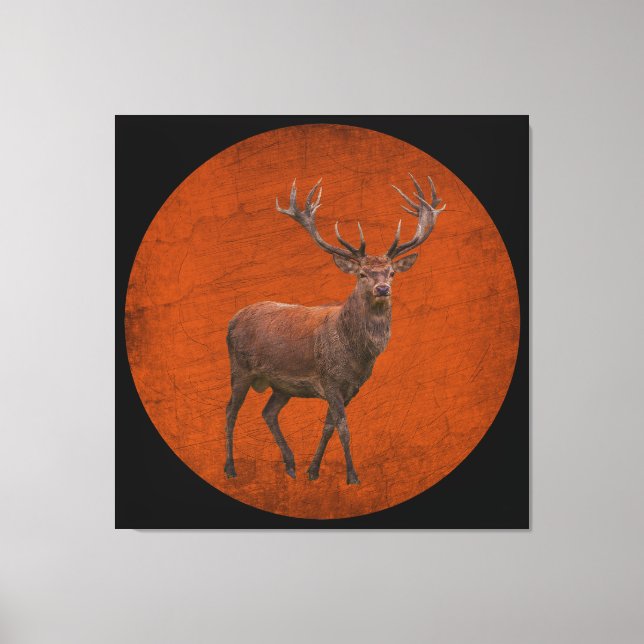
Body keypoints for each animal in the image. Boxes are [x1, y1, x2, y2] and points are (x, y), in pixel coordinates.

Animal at [224, 174, 446, 485]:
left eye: (391, 272)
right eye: (362, 273)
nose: (382, 288)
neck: (355, 355)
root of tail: (233, 319)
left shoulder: (352, 386)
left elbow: (329, 426)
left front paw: (313, 471)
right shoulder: (329, 379)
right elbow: (343, 427)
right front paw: (352, 476)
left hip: (281, 385)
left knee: (267, 412)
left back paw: (290, 465)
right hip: (239, 368)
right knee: (230, 411)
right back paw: (230, 468)